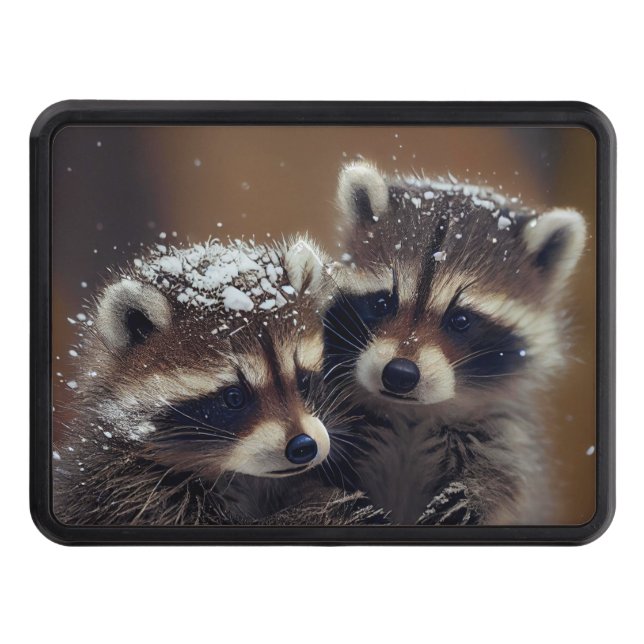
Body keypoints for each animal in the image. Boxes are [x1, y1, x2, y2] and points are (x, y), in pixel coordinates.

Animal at [324, 162, 587, 525]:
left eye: (460, 320)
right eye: (382, 303)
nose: (399, 374)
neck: (412, 414)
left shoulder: (503, 432)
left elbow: (511, 480)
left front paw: (479, 491)